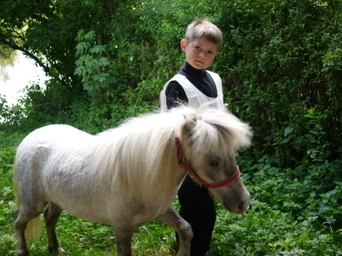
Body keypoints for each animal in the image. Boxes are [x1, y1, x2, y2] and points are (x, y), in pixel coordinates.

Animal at [12, 105, 251, 255]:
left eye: (233, 154)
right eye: (212, 161)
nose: (242, 203)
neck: (139, 175)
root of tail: (29, 137)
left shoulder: (161, 211)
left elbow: (186, 229)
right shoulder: (122, 229)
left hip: (57, 200)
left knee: (49, 219)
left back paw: (55, 248)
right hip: (33, 204)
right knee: (19, 221)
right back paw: (22, 251)